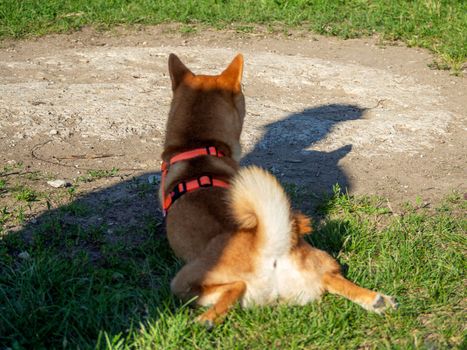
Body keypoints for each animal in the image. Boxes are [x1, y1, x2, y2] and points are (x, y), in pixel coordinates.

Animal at [161, 53, 398, 326]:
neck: (200, 148)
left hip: (183, 281)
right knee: (332, 278)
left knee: (235, 288)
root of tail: (271, 247)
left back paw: (206, 320)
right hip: (322, 260)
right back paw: (376, 300)